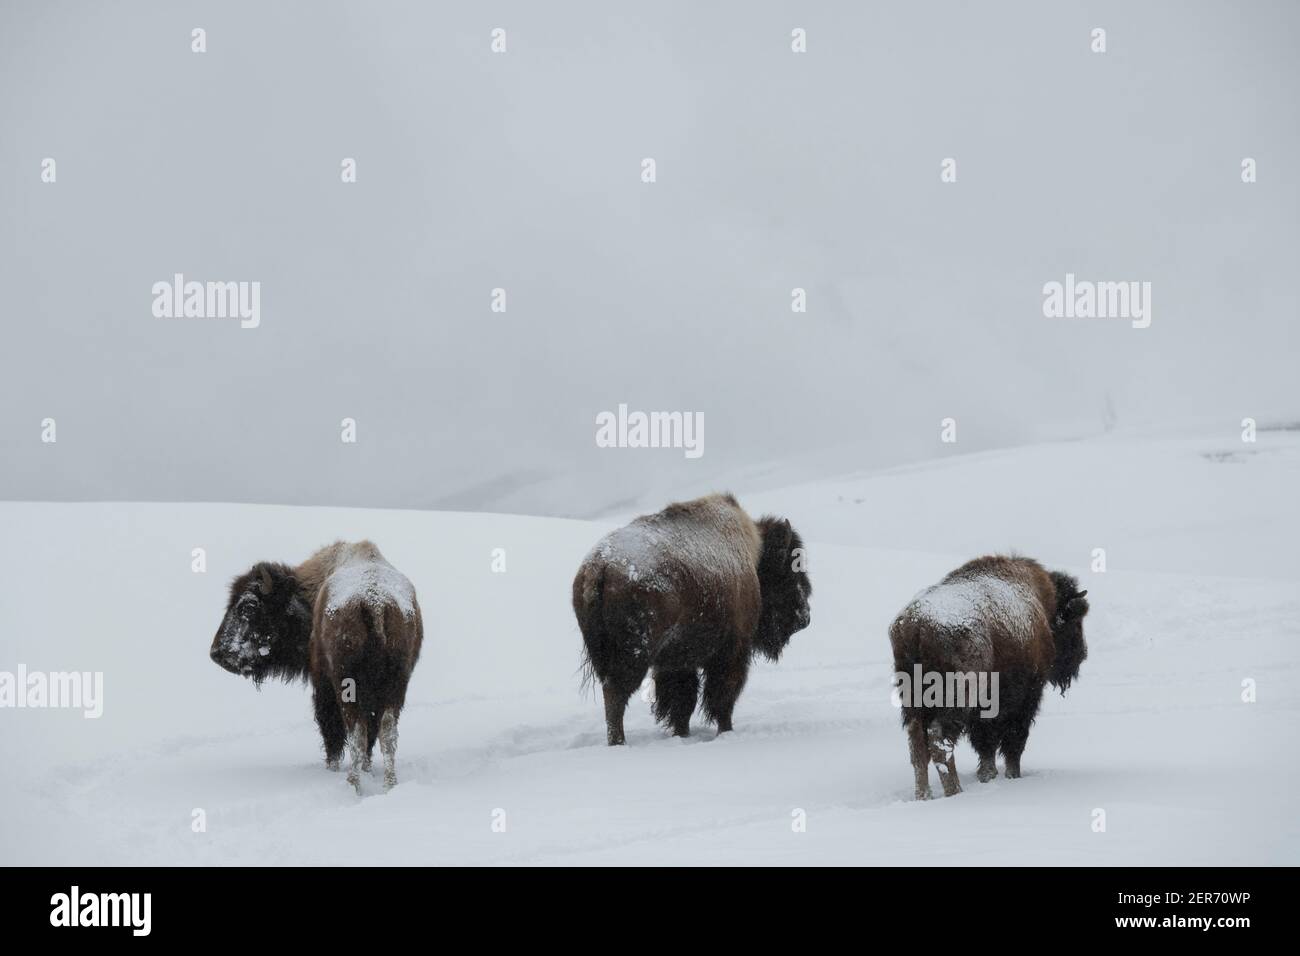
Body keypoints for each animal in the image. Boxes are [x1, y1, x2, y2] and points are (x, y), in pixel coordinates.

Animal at [208, 541, 421, 796]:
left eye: (249, 606)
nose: (218, 653)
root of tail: (375, 604)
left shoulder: (323, 684)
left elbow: (331, 730)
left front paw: (333, 768)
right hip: (396, 686)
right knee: (387, 734)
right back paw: (388, 784)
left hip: (347, 688)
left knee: (355, 732)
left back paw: (353, 785)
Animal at [572, 494, 806, 749]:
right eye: (789, 572)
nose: (804, 617)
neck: (754, 554)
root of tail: (599, 567)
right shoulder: (732, 652)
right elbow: (722, 697)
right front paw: (725, 731)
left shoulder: (678, 661)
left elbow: (684, 700)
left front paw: (682, 734)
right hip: (633, 656)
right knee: (615, 693)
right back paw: (619, 743)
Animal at [894, 554, 1086, 801]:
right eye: (1076, 621)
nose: (1082, 654)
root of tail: (917, 625)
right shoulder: (1025, 701)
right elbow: (1013, 742)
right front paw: (1011, 775)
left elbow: (986, 745)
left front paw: (989, 775)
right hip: (956, 698)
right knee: (940, 743)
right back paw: (955, 792)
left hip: (913, 701)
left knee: (918, 746)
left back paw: (924, 796)